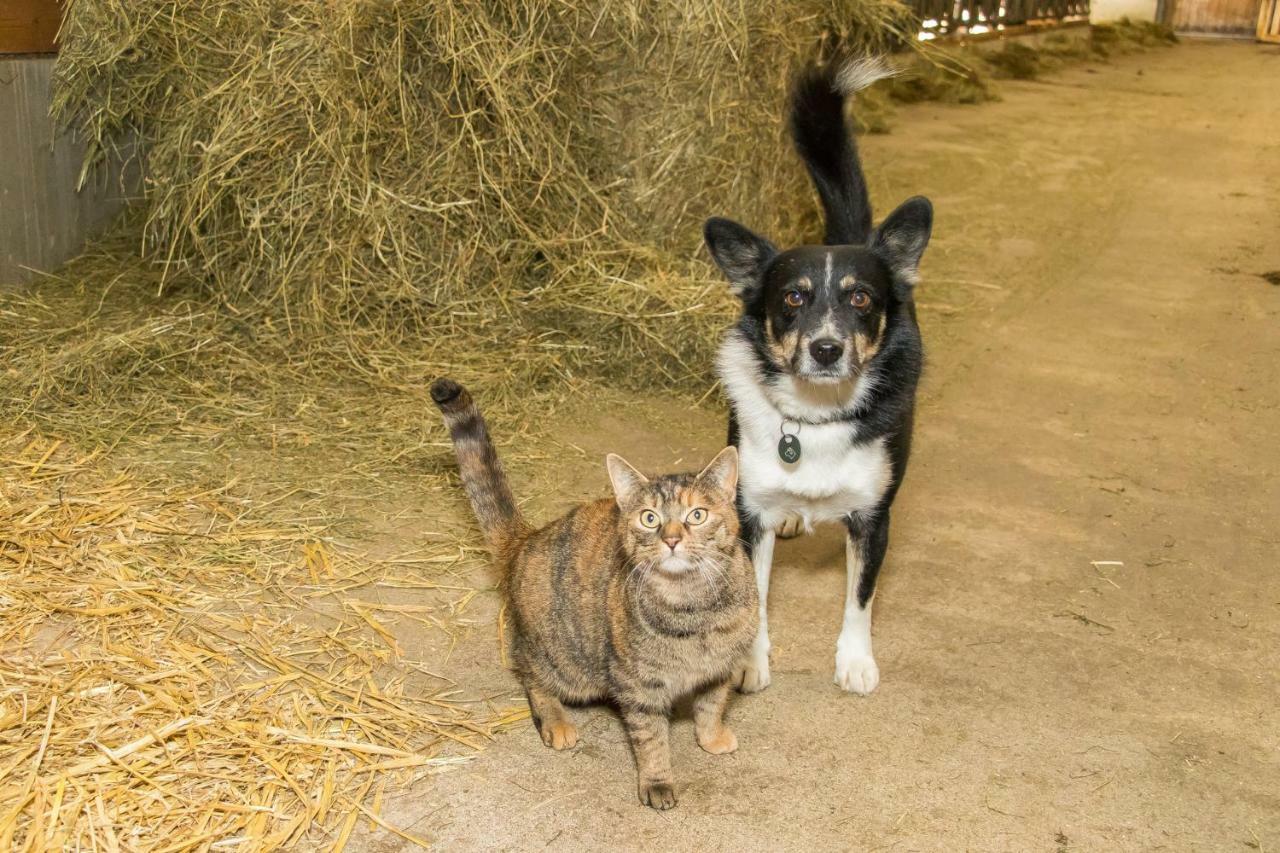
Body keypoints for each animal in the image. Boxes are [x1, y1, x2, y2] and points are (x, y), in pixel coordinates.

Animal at [430, 376, 757, 804]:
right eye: (649, 518)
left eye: (697, 515)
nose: (670, 539)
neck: (692, 606)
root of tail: (526, 539)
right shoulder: (639, 686)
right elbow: (651, 739)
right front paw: (657, 780)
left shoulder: (722, 667)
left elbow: (712, 705)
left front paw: (711, 737)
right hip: (564, 662)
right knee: (528, 673)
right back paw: (555, 721)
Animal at [706, 61, 936, 696]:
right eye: (792, 298)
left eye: (860, 298)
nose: (826, 349)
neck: (816, 415)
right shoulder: (747, 513)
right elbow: (755, 596)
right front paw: (751, 660)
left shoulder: (875, 519)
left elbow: (860, 597)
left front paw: (855, 661)